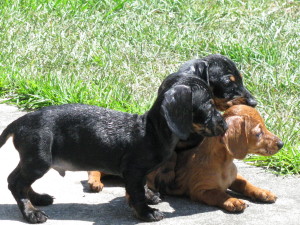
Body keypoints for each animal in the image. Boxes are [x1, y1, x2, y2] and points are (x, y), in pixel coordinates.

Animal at [0, 75, 226, 223]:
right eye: (208, 105)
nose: (225, 124)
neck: (152, 130)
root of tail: (18, 123)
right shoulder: (133, 170)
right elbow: (136, 194)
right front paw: (146, 213)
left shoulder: (138, 173)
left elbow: (141, 187)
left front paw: (149, 196)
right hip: (38, 160)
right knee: (16, 183)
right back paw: (31, 212)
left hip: (32, 161)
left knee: (20, 182)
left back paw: (37, 198)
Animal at [148, 104, 284, 212]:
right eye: (258, 133)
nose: (281, 144)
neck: (224, 164)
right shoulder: (200, 190)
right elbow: (219, 194)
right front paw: (232, 200)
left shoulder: (234, 177)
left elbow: (244, 183)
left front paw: (262, 192)